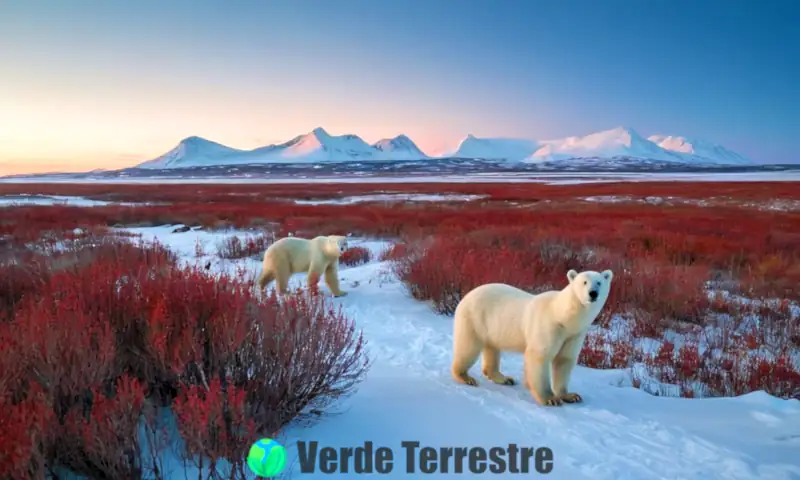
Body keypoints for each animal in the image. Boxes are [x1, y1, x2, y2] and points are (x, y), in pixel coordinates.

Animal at [450, 268, 612, 406]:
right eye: (584, 282)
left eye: (599, 282)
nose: (593, 293)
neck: (563, 316)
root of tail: (467, 295)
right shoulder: (550, 326)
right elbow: (539, 356)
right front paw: (550, 399)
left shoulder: (574, 334)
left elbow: (564, 360)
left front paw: (570, 395)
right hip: (474, 318)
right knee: (468, 347)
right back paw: (465, 377)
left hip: (491, 327)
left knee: (492, 347)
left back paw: (505, 378)